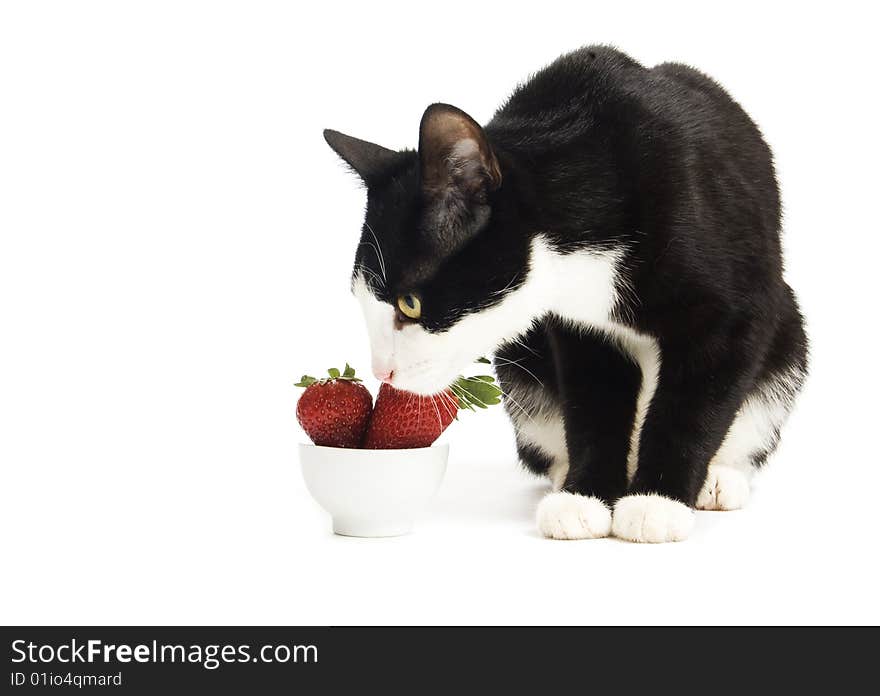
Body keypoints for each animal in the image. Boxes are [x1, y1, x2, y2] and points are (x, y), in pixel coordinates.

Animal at [322, 46, 804, 544]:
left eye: (410, 303)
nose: (383, 371)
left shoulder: (733, 307)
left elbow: (694, 400)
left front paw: (657, 502)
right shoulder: (578, 325)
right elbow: (592, 397)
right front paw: (585, 496)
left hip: (787, 331)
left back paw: (717, 478)